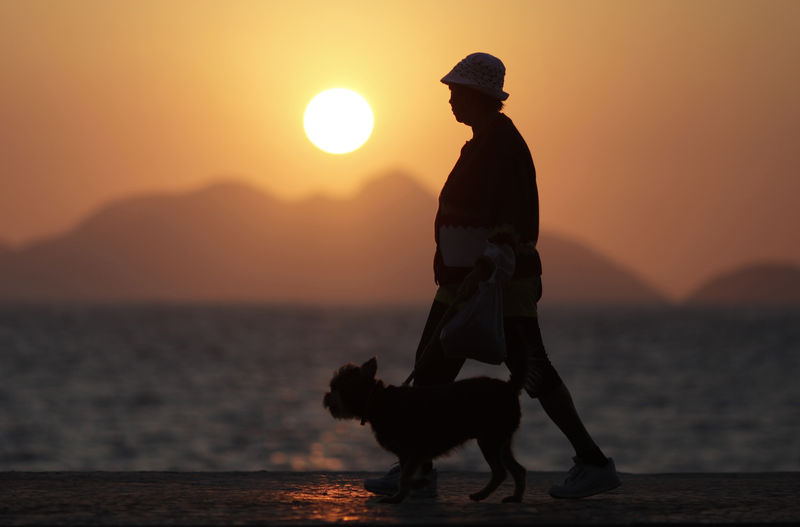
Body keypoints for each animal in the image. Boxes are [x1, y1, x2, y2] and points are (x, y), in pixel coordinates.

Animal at [322, 356, 528, 506]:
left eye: (335, 386)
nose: (325, 397)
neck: (377, 400)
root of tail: (509, 387)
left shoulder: (415, 450)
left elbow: (405, 477)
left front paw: (403, 494)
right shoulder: (406, 454)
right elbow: (405, 476)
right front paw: (411, 489)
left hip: (489, 439)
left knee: (500, 472)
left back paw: (482, 494)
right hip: (501, 441)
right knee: (518, 469)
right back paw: (515, 497)